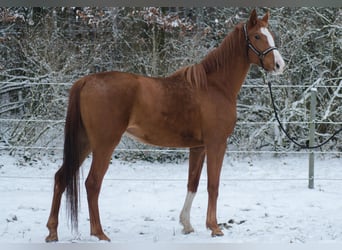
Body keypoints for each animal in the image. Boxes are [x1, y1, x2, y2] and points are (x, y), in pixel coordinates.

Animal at [46, 9, 286, 242]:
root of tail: (86, 81)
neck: (215, 86)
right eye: (257, 36)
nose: (279, 65)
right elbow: (213, 185)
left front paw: (187, 224)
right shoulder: (217, 143)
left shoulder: (198, 147)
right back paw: (99, 233)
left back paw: (52, 232)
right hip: (104, 144)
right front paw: (214, 228)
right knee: (92, 183)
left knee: (61, 178)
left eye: (270, 34)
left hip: (84, 142)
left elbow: (193, 183)